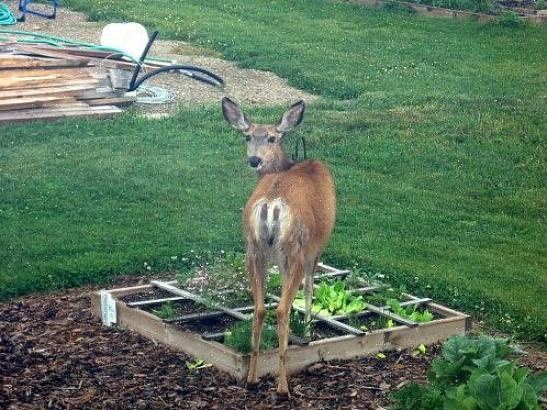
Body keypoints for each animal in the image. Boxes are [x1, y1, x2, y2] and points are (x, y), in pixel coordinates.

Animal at [220, 97, 336, 396]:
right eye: (248, 136)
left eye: (270, 137)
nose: (254, 159)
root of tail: (271, 203)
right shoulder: (317, 245)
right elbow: (309, 289)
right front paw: (307, 332)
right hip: (295, 246)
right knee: (282, 308)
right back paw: (283, 387)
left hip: (252, 247)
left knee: (260, 308)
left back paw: (252, 377)